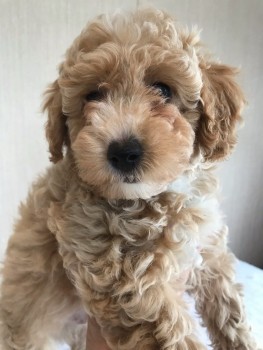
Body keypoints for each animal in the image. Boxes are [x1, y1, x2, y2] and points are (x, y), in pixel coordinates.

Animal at [0, 7, 258, 350]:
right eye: (92, 95)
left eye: (163, 90)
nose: (124, 152)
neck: (152, 198)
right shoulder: (120, 274)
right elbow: (171, 328)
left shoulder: (208, 249)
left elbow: (229, 305)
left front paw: (242, 340)